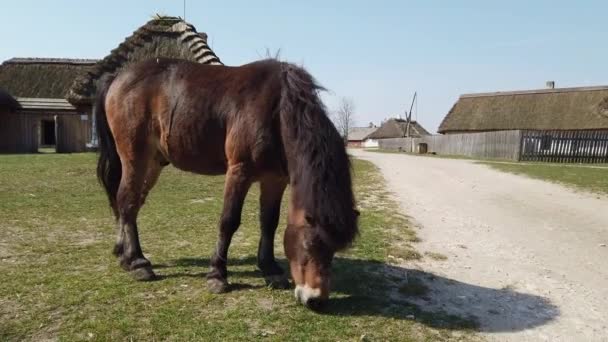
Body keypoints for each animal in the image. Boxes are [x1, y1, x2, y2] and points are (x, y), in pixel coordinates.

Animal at [97, 57, 358, 308]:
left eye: (333, 250)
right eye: (311, 243)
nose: (315, 299)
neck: (277, 110)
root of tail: (117, 77)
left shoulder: (274, 179)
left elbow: (269, 223)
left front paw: (270, 269)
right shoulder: (239, 172)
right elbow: (228, 221)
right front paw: (217, 275)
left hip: (153, 163)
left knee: (132, 204)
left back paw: (123, 254)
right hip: (134, 158)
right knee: (126, 202)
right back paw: (138, 262)